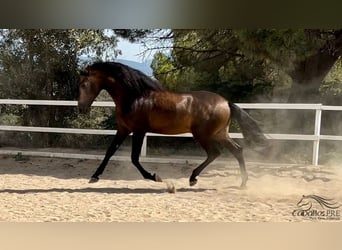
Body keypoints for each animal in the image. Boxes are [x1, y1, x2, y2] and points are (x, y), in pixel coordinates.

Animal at [77, 61, 268, 188]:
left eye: (84, 84)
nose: (81, 108)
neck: (135, 97)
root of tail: (226, 102)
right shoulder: (123, 129)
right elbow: (109, 152)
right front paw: (94, 176)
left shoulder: (139, 131)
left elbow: (134, 158)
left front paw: (155, 177)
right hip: (220, 134)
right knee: (237, 151)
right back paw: (243, 183)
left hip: (203, 134)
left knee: (215, 153)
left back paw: (193, 178)